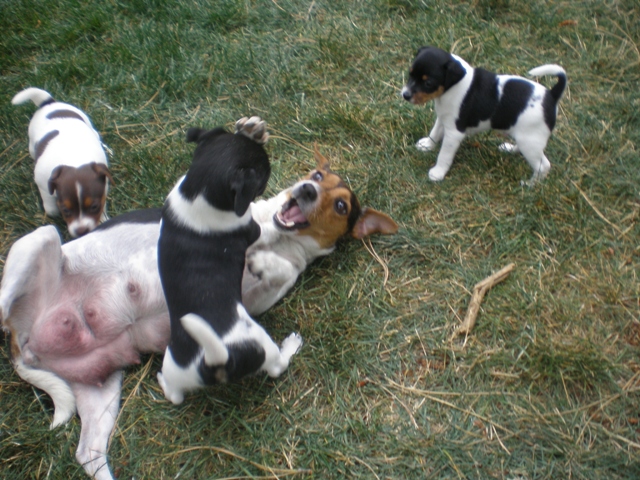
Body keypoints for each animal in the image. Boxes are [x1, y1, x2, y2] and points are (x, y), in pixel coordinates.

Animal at [12, 87, 114, 237]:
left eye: (94, 206)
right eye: (65, 210)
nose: (81, 232)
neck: (74, 158)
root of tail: (49, 103)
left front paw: (102, 219)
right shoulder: (42, 182)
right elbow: (50, 206)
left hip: (87, 121)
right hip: (31, 142)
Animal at [157, 117, 302, 404]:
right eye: (263, 174)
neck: (197, 192)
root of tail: (214, 364)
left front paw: (250, 130)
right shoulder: (250, 231)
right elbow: (268, 228)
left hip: (173, 366)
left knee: (174, 394)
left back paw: (162, 382)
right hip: (262, 345)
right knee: (277, 367)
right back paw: (291, 345)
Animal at [402, 47, 568, 185]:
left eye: (428, 83)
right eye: (410, 74)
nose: (405, 95)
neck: (452, 87)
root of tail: (552, 96)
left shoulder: (454, 132)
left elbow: (444, 154)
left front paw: (438, 173)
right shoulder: (444, 118)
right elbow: (435, 133)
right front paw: (427, 145)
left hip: (530, 140)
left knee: (543, 166)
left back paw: (530, 184)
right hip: (525, 138)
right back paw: (509, 149)